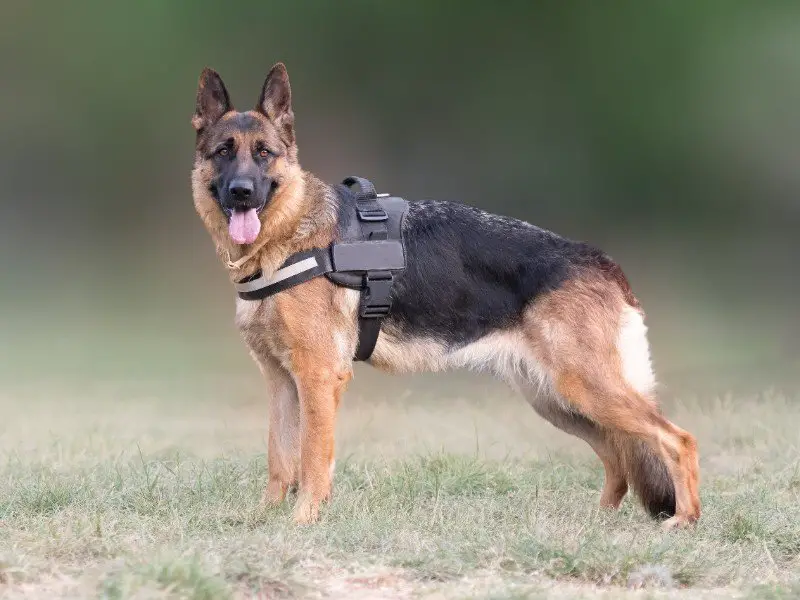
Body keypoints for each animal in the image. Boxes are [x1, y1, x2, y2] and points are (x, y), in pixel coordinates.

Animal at [189, 63, 700, 528]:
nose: (241, 192)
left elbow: (313, 460)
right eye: (223, 152)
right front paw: (264, 519)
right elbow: (280, 458)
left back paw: (684, 520)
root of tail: (604, 263)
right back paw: (599, 523)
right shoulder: (280, 381)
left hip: (586, 391)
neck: (288, 235)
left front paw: (302, 522)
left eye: (264, 154)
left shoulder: (318, 378)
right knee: (618, 456)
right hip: (560, 401)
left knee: (677, 440)